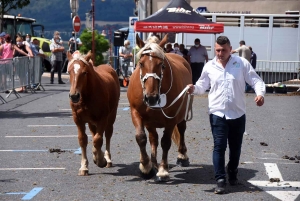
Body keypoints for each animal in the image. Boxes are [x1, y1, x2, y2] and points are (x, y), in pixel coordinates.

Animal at [126, 33, 192, 181]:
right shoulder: (136, 113)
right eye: (141, 63)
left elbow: (166, 142)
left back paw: (182, 156)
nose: (151, 98)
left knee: (182, 129)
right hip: (151, 122)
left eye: (161, 65)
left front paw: (163, 169)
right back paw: (153, 163)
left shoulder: (171, 119)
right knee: (153, 138)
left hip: (182, 113)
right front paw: (146, 166)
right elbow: (141, 138)